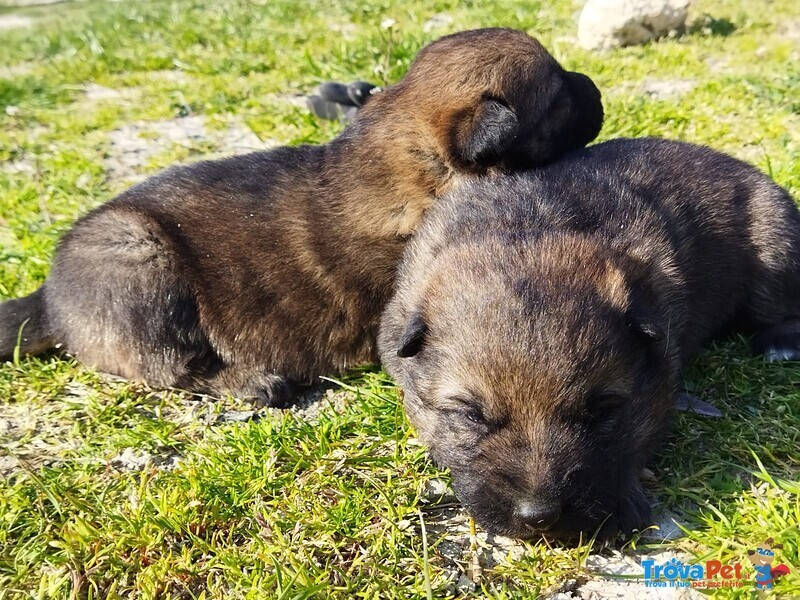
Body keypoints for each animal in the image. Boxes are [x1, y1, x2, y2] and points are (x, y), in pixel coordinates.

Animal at [0, 25, 600, 406]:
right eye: (558, 96)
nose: (595, 85)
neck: (415, 161)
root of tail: (47, 298)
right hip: (137, 257)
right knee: (169, 366)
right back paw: (255, 384)